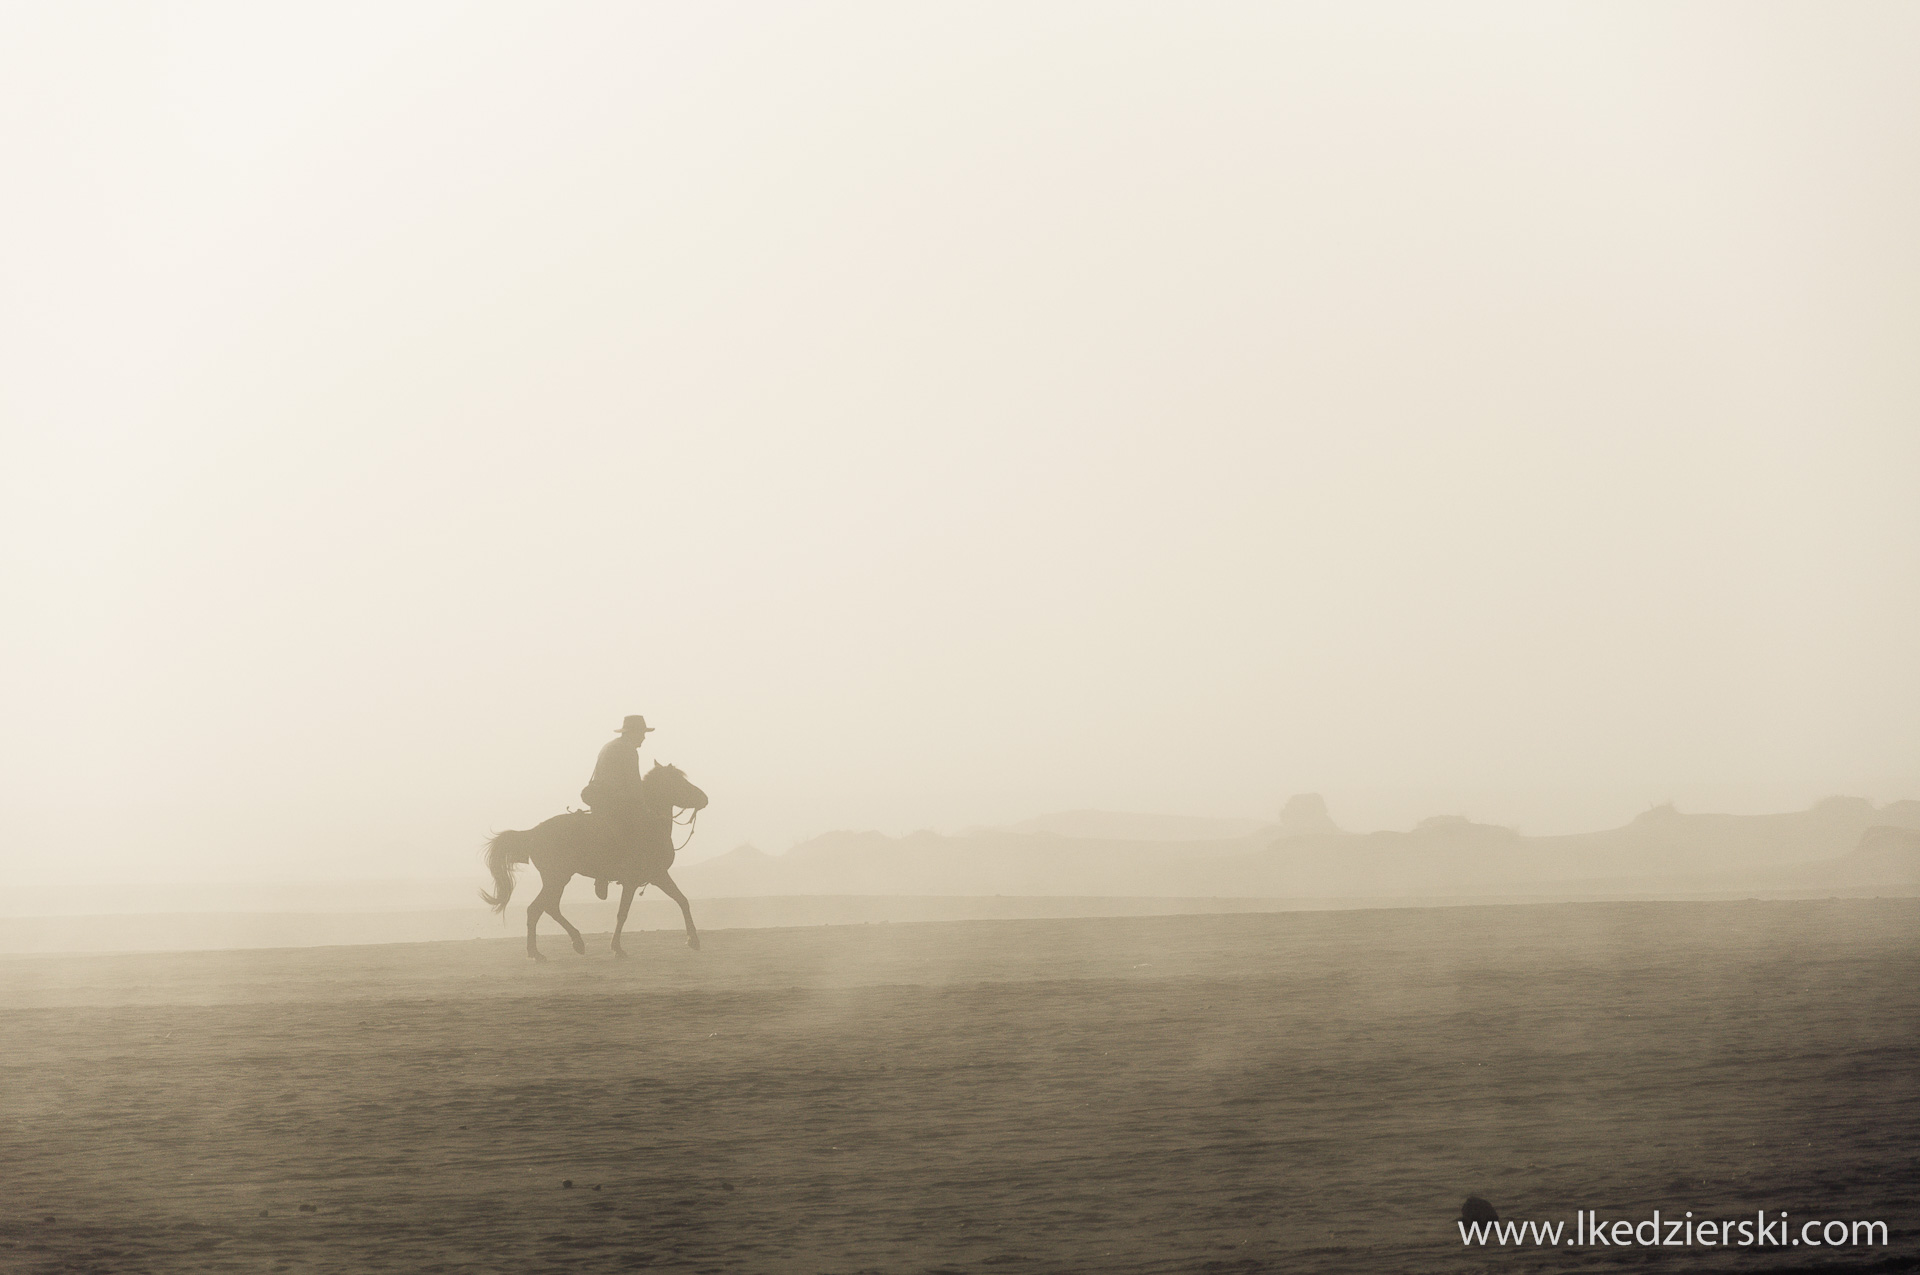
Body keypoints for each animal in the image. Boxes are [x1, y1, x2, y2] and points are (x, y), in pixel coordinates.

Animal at [480, 760, 714, 960]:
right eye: (677, 781)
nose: (704, 798)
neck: (649, 824)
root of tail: (533, 833)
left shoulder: (658, 875)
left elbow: (682, 900)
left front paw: (693, 940)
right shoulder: (633, 881)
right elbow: (622, 913)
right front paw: (617, 948)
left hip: (557, 879)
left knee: (549, 907)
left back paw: (573, 943)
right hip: (557, 878)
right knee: (537, 908)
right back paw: (538, 952)